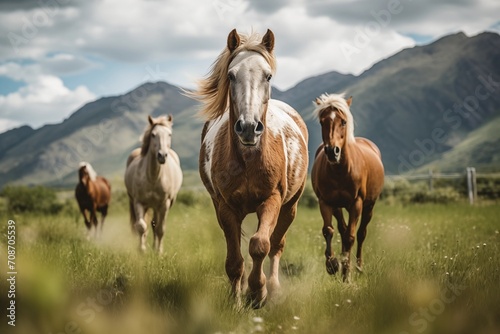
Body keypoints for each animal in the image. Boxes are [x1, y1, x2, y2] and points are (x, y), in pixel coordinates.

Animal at [124, 115, 183, 253]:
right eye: (153, 135)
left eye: (169, 134)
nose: (162, 155)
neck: (153, 178)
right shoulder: (138, 202)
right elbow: (141, 226)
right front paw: (142, 250)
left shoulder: (164, 204)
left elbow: (160, 229)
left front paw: (159, 252)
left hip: (159, 206)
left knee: (155, 224)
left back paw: (155, 247)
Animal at [188, 28, 308, 308]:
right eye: (231, 75)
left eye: (268, 75)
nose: (249, 128)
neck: (248, 159)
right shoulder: (226, 207)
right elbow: (234, 260)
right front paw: (237, 298)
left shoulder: (272, 200)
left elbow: (260, 245)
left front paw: (258, 291)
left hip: (291, 206)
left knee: (276, 244)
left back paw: (273, 288)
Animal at [310, 93, 384, 282]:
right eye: (322, 122)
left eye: (343, 122)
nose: (332, 152)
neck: (340, 170)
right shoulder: (325, 202)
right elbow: (328, 231)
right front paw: (332, 265)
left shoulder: (356, 203)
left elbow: (351, 237)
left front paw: (347, 276)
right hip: (338, 207)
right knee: (342, 231)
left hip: (369, 206)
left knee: (361, 234)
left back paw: (358, 267)